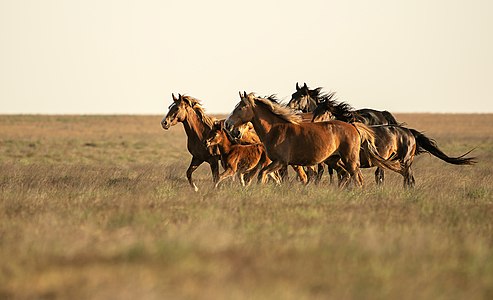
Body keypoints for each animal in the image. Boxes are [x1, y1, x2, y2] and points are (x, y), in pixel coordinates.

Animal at [225, 91, 394, 188]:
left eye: (241, 107)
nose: (228, 124)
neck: (276, 129)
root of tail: (353, 126)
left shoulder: (281, 161)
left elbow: (262, 175)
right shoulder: (280, 163)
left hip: (350, 160)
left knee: (358, 179)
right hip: (334, 160)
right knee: (345, 175)